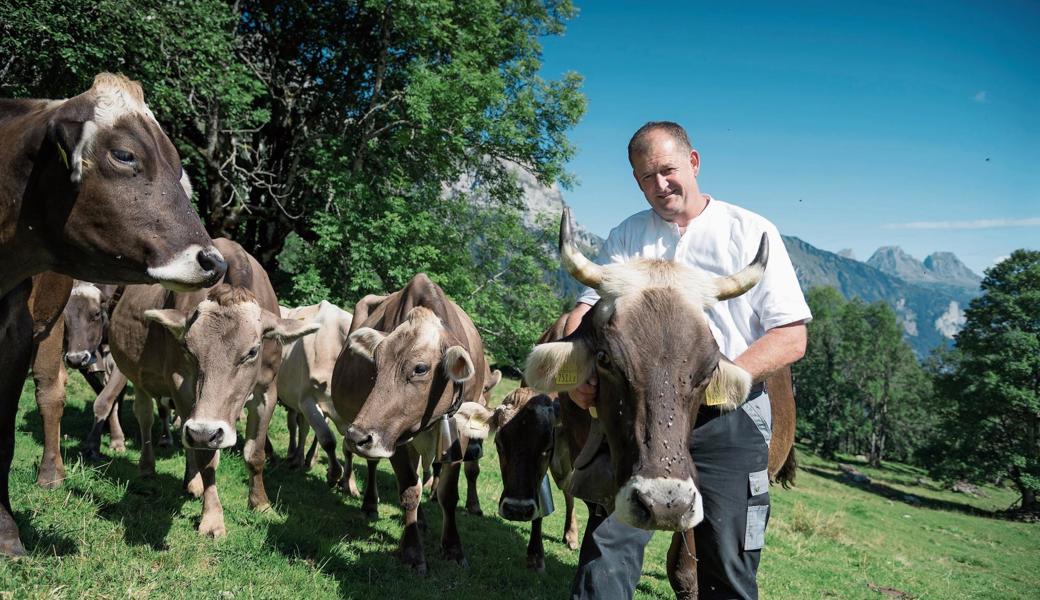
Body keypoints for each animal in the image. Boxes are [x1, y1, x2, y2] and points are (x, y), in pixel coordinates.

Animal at [108, 236, 316, 536]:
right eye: (188, 349)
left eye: (253, 351)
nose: (205, 431)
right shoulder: (182, 387)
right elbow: (206, 457)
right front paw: (212, 517)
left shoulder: (267, 392)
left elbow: (255, 453)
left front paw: (261, 504)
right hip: (140, 378)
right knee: (146, 417)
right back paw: (149, 468)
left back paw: (190, 481)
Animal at [332, 274, 495, 574]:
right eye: (375, 363)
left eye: (420, 368)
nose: (357, 436)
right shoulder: (392, 438)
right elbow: (409, 489)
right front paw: (412, 552)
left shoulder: (458, 435)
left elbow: (448, 494)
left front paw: (453, 547)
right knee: (374, 465)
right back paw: (371, 504)